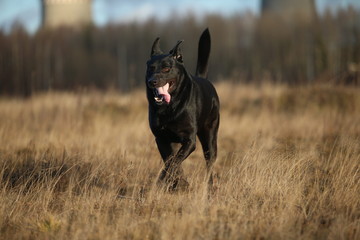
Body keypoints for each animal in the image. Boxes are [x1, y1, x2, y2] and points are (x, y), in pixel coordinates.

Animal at [146, 28, 219, 189]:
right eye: (150, 68)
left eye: (166, 68)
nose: (152, 81)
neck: (170, 107)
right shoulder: (161, 138)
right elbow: (171, 161)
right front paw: (178, 182)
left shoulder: (189, 140)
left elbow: (174, 162)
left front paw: (165, 181)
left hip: (210, 136)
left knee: (210, 162)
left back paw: (210, 187)